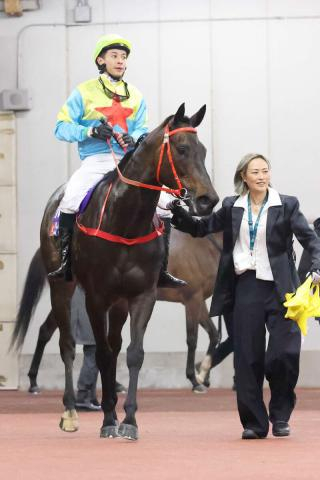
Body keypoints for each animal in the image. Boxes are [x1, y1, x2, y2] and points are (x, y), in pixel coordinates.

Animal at [11, 104, 218, 438]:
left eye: (203, 150)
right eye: (182, 149)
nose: (207, 199)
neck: (125, 221)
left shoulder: (142, 295)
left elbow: (132, 353)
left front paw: (129, 419)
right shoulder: (96, 297)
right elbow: (102, 353)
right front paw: (108, 418)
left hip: (118, 302)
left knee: (113, 343)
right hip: (63, 289)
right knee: (66, 344)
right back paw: (69, 410)